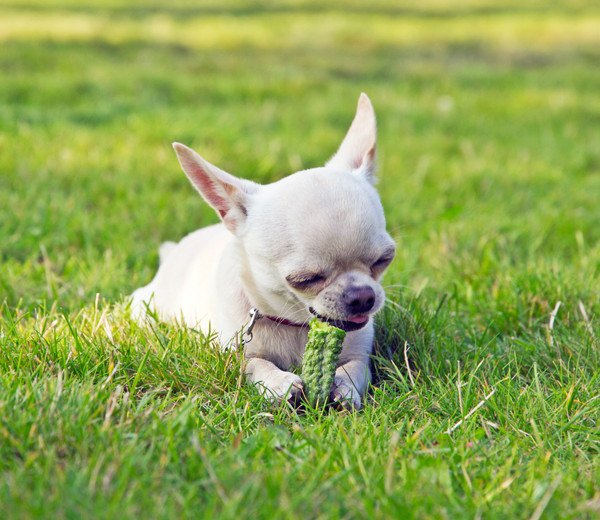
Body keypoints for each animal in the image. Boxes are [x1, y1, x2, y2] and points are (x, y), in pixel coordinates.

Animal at [131, 94, 394, 410]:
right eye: (306, 279)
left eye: (383, 260)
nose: (363, 297)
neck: (297, 327)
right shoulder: (236, 353)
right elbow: (256, 364)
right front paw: (279, 383)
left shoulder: (359, 351)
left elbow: (356, 367)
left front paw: (344, 386)